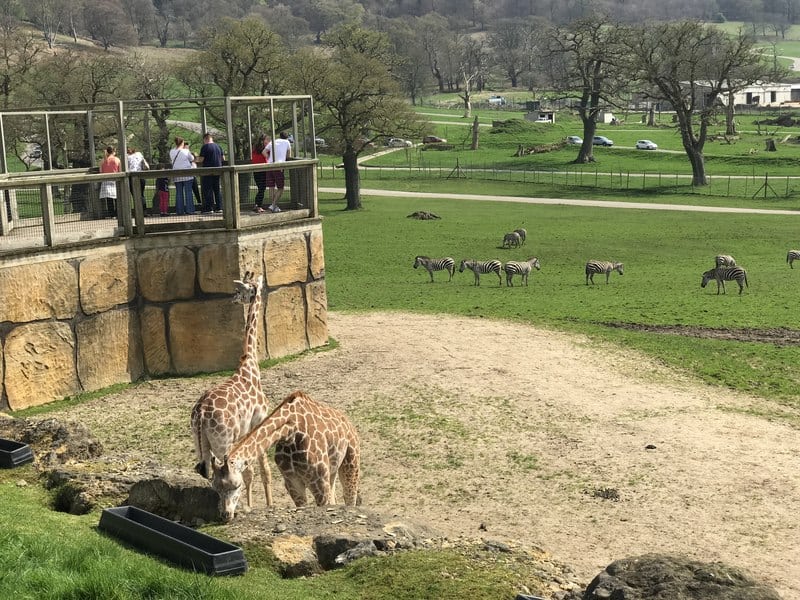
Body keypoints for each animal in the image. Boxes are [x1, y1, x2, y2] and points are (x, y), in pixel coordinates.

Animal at [190, 271, 273, 511]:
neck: (250, 365)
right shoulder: (259, 421)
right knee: (223, 471)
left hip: (200, 443)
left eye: (239, 291)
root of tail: (200, 415)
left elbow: (249, 470)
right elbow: (261, 469)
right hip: (222, 443)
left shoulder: (245, 431)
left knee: (207, 472)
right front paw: (264, 505)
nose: (233, 300)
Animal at [210, 390, 361, 522]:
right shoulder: (292, 481)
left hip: (351, 461)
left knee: (350, 497)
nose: (225, 515)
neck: (290, 433)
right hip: (332, 470)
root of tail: (349, 424)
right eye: (216, 488)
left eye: (237, 485)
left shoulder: (319, 481)